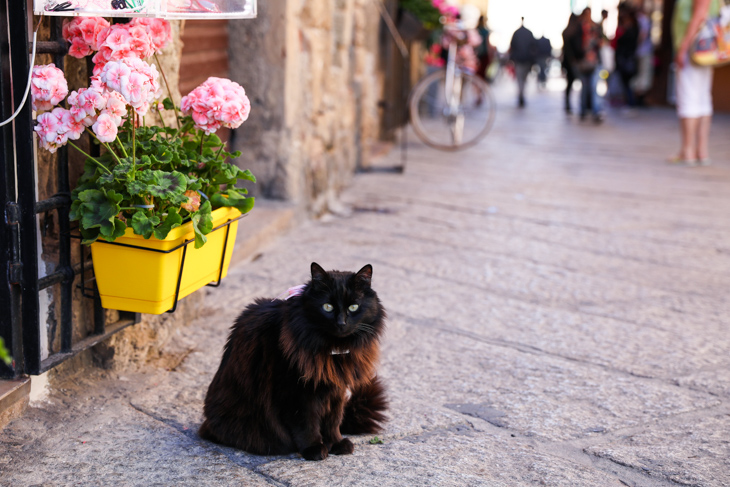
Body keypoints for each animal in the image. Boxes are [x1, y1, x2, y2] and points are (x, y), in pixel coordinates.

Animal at [196, 264, 384, 462]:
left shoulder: (336, 389)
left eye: (354, 307)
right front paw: (314, 448)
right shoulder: (294, 391)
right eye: (327, 307)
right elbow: (306, 424)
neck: (333, 350)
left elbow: (333, 420)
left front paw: (336, 443)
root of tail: (207, 423)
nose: (341, 323)